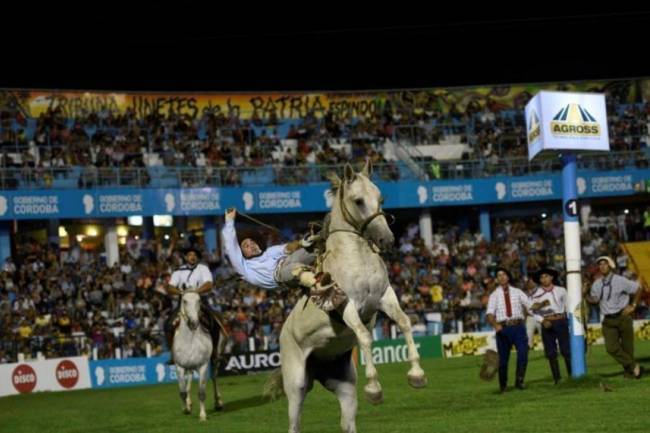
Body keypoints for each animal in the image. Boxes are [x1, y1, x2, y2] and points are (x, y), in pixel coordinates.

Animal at [172, 288, 223, 420]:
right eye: (184, 301)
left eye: (199, 300)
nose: (194, 323)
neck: (190, 340)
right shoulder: (179, 367)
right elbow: (182, 392)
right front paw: (185, 409)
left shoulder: (203, 366)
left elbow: (201, 393)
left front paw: (203, 415)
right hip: (188, 366)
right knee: (189, 377)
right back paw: (189, 403)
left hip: (214, 359)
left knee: (214, 377)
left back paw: (218, 403)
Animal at [268, 161, 426, 432]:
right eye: (358, 200)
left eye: (380, 198)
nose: (387, 239)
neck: (357, 259)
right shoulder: (346, 304)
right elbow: (364, 336)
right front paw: (374, 388)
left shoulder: (385, 297)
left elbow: (404, 322)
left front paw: (416, 374)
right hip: (296, 385)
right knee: (294, 422)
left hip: (345, 387)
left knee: (347, 421)